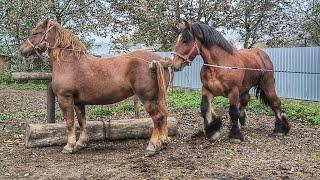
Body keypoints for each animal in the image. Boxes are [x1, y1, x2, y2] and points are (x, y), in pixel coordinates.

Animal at [20, 19, 171, 155]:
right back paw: (162, 143)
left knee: (157, 118)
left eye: (35, 33)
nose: (22, 50)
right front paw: (81, 143)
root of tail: (159, 60)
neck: (69, 63)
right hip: (158, 98)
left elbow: (69, 122)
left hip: (147, 99)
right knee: (164, 115)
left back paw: (152, 147)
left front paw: (69, 146)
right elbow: (82, 121)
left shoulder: (65, 99)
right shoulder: (78, 102)